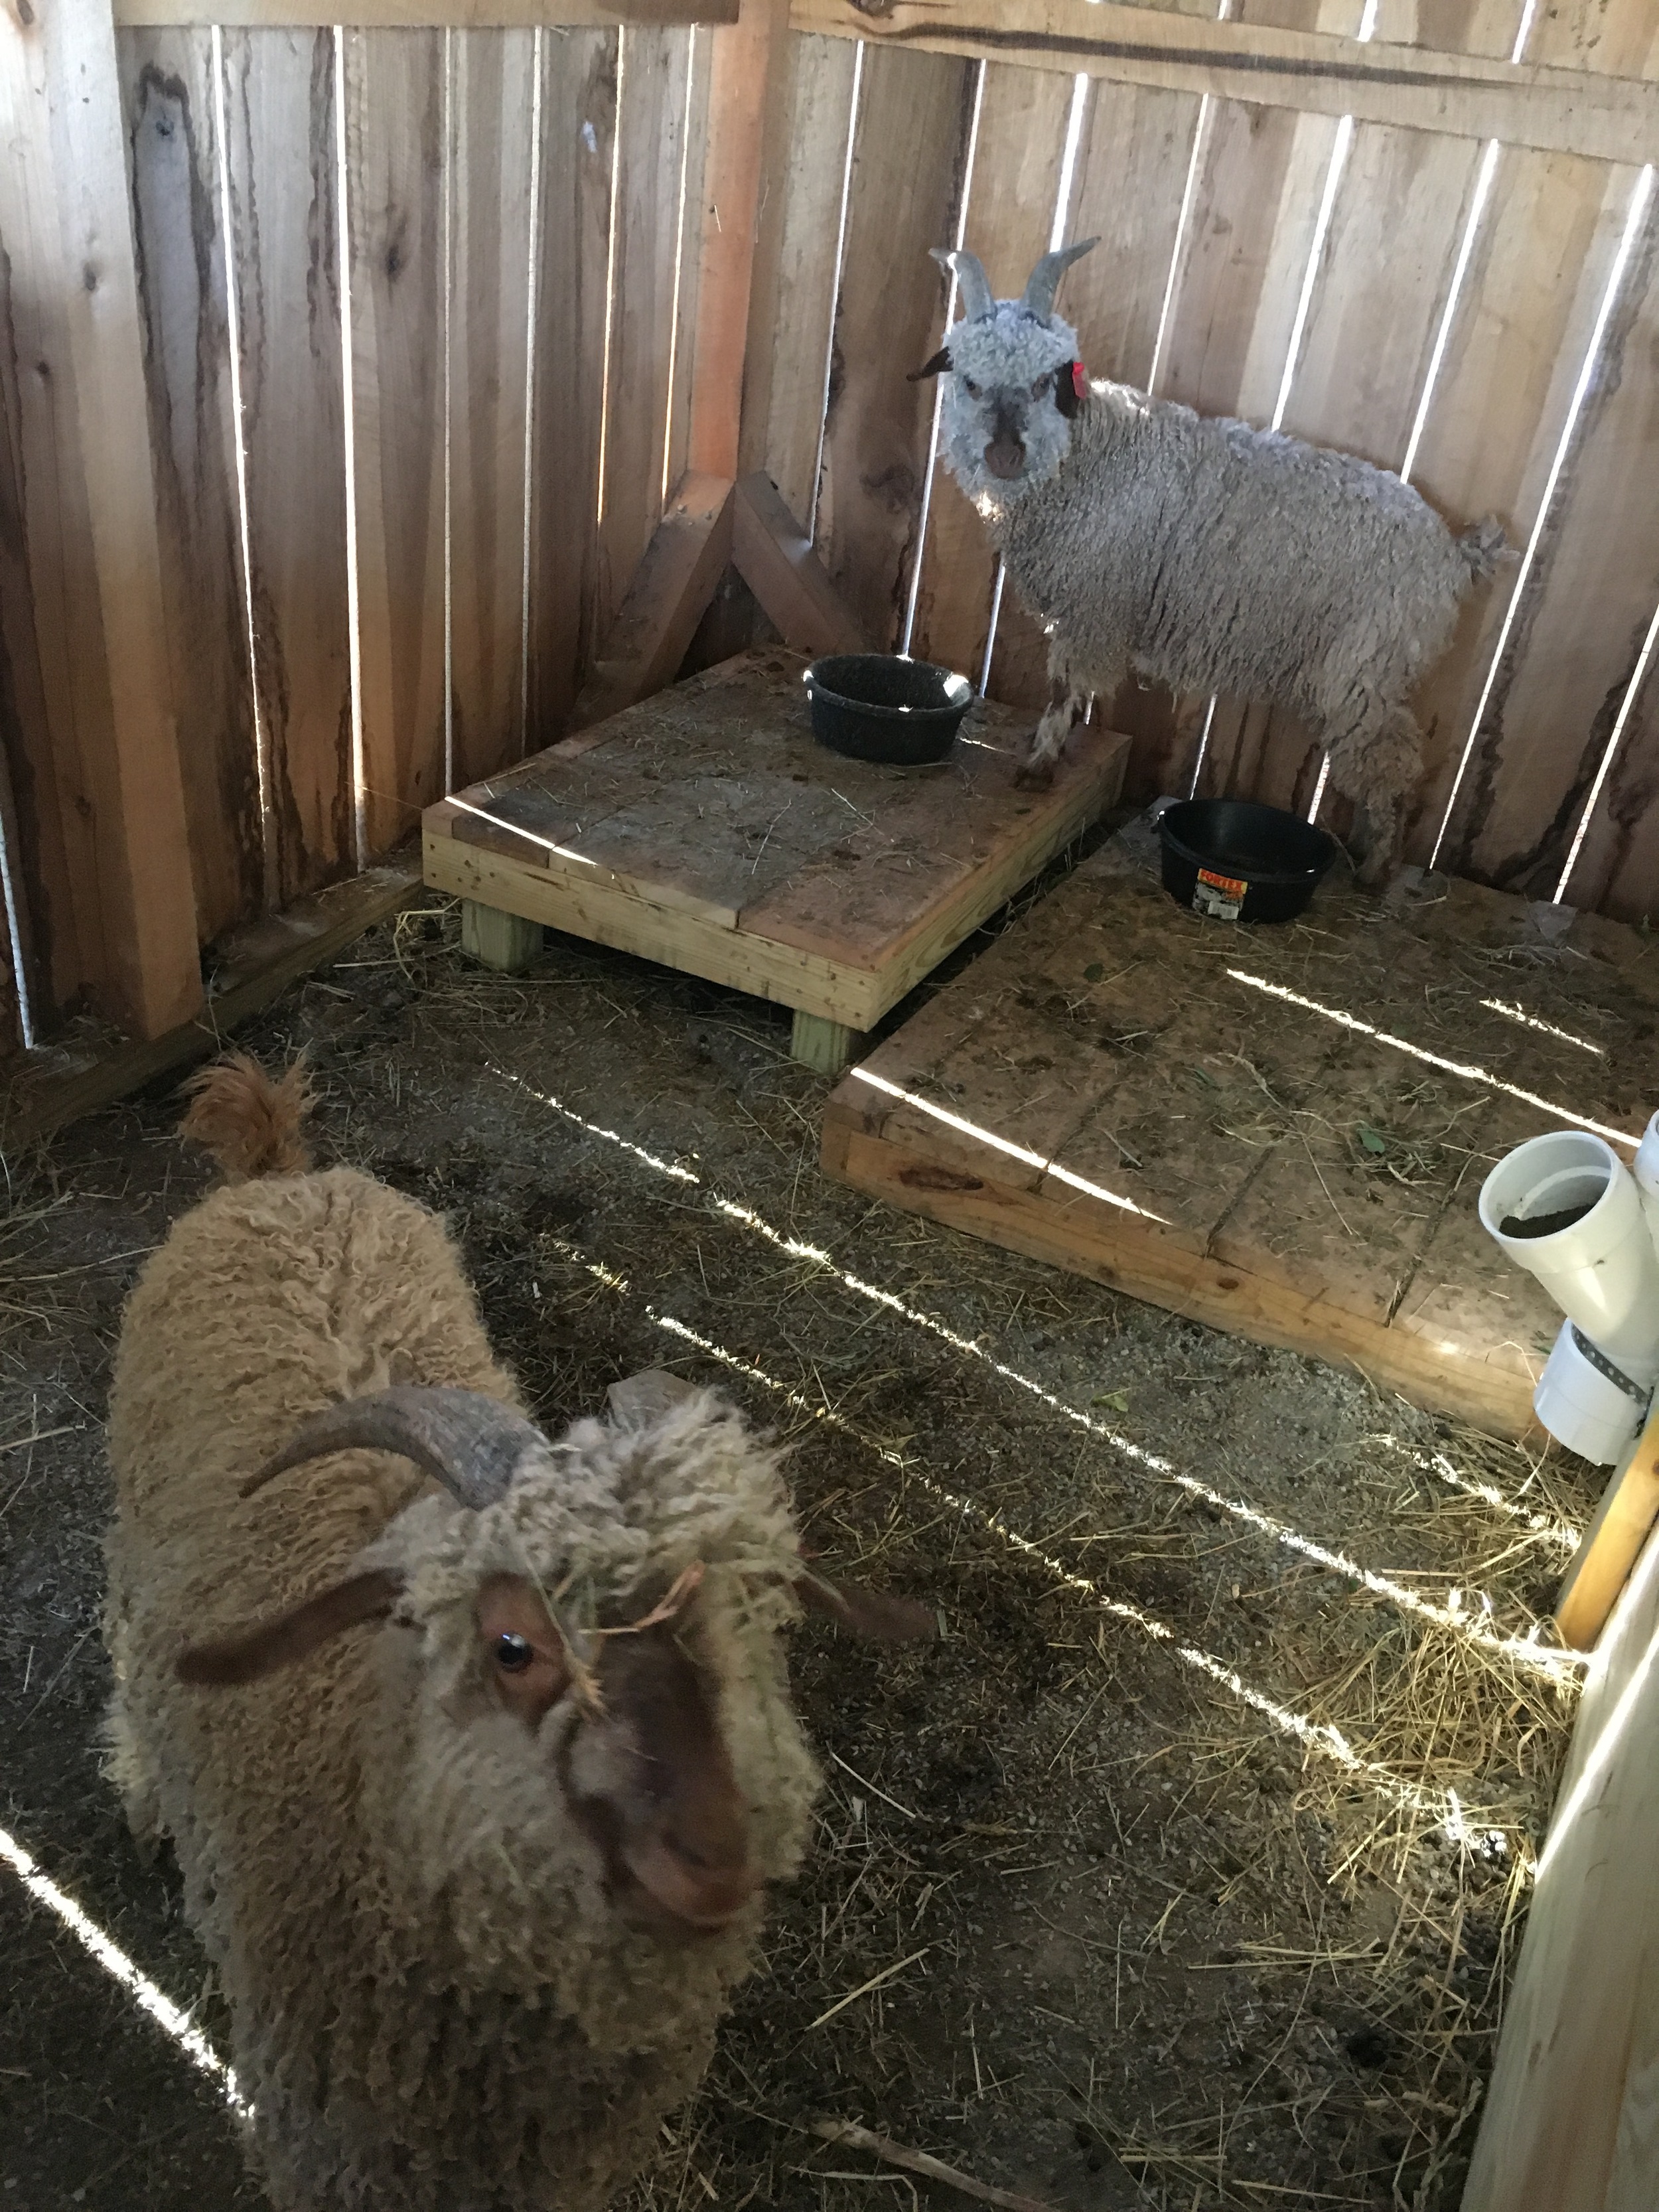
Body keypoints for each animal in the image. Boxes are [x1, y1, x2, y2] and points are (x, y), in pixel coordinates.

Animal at [911, 244, 1504, 880]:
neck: (1091, 455)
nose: (1005, 454)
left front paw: (1040, 763)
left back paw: (1375, 866)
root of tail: (1454, 553)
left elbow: (1064, 688)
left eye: (1046, 380)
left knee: (1389, 758)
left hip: (1367, 665)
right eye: (970, 381)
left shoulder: (1094, 605)